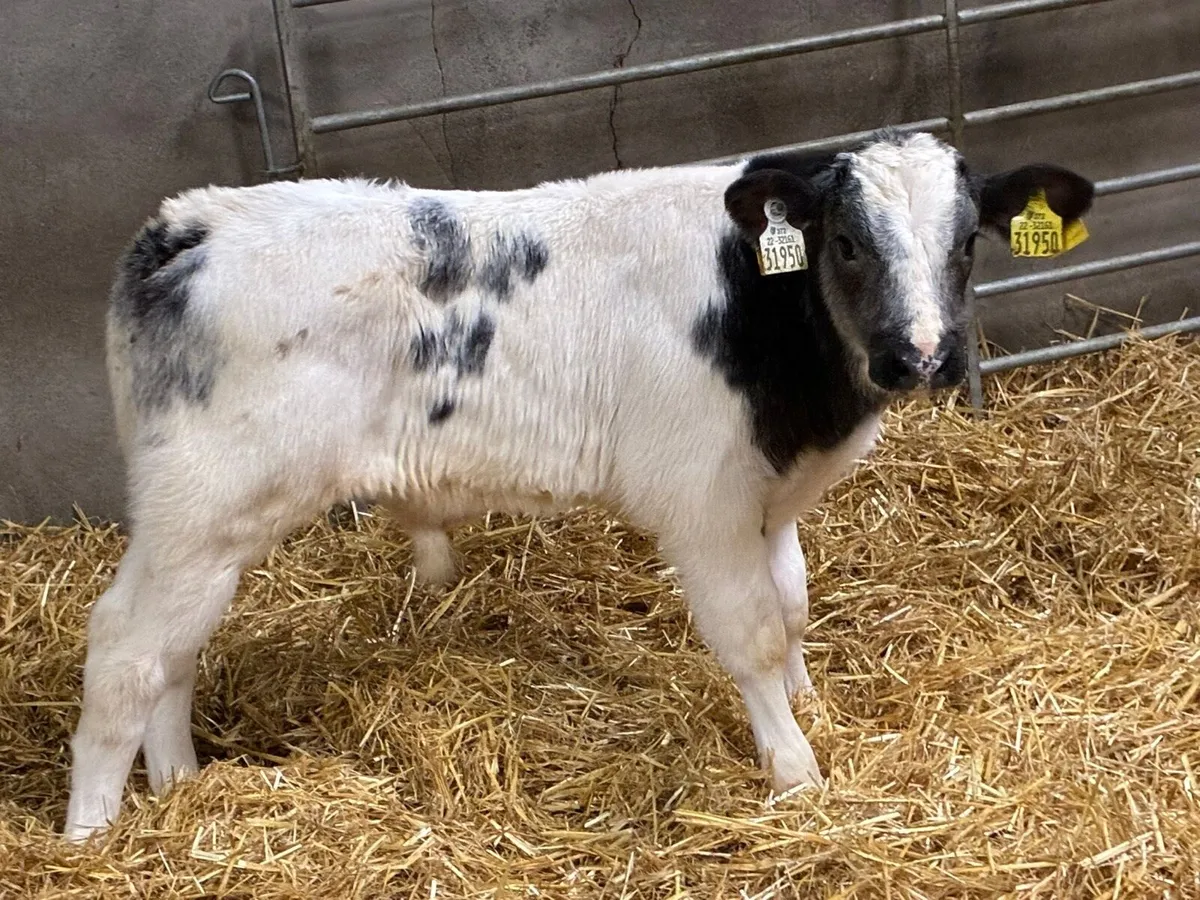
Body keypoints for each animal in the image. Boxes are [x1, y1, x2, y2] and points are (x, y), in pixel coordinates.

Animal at [62, 129, 1093, 840]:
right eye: (846, 243)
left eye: (966, 244)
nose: (919, 355)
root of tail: (190, 223)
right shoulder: (703, 502)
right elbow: (752, 635)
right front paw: (794, 768)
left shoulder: (772, 498)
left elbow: (794, 606)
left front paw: (811, 707)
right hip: (200, 507)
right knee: (123, 646)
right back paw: (93, 836)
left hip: (205, 527)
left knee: (174, 652)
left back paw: (182, 788)